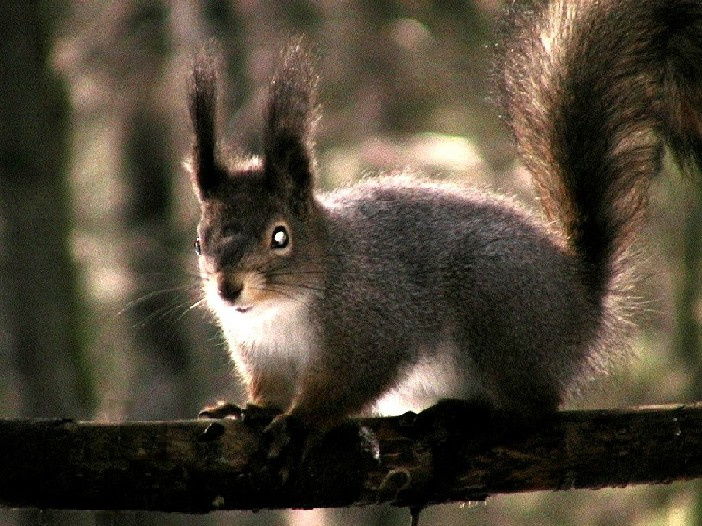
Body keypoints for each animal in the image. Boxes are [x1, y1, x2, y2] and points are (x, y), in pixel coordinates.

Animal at [187, 0, 702, 432]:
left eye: (280, 237)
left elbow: (347, 386)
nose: (228, 289)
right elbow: (269, 390)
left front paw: (299, 422)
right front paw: (251, 409)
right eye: (198, 241)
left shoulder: (374, 326)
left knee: (534, 403)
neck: (281, 312)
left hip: (504, 316)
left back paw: (477, 409)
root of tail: (583, 297)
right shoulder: (262, 354)